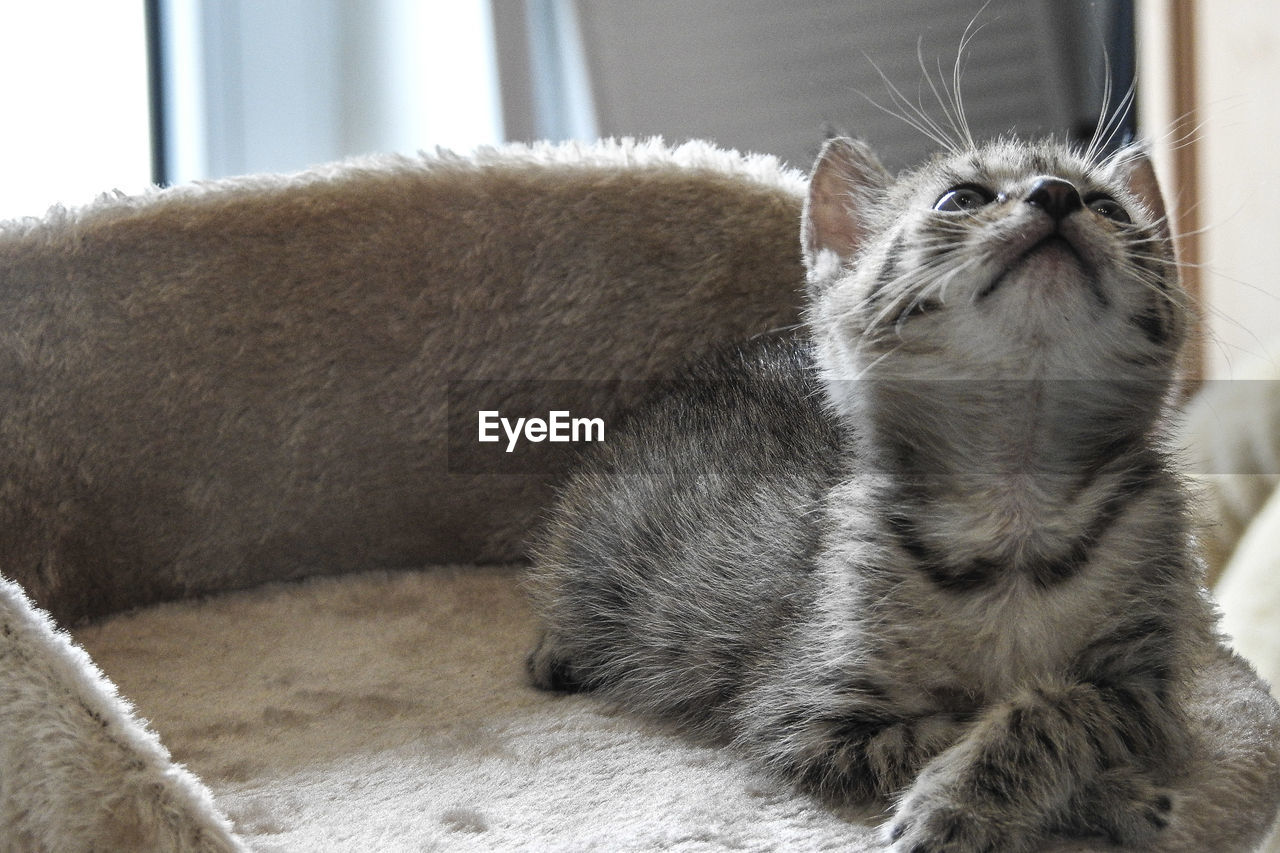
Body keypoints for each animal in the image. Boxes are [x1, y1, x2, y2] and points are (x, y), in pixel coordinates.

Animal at [519, 136, 1208, 845]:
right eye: (960, 199)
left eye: (1111, 208)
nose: (1058, 194)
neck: (1015, 511)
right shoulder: (799, 713)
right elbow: (947, 725)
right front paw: (1059, 797)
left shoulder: (1143, 688)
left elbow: (1057, 708)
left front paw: (1002, 796)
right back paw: (560, 649)